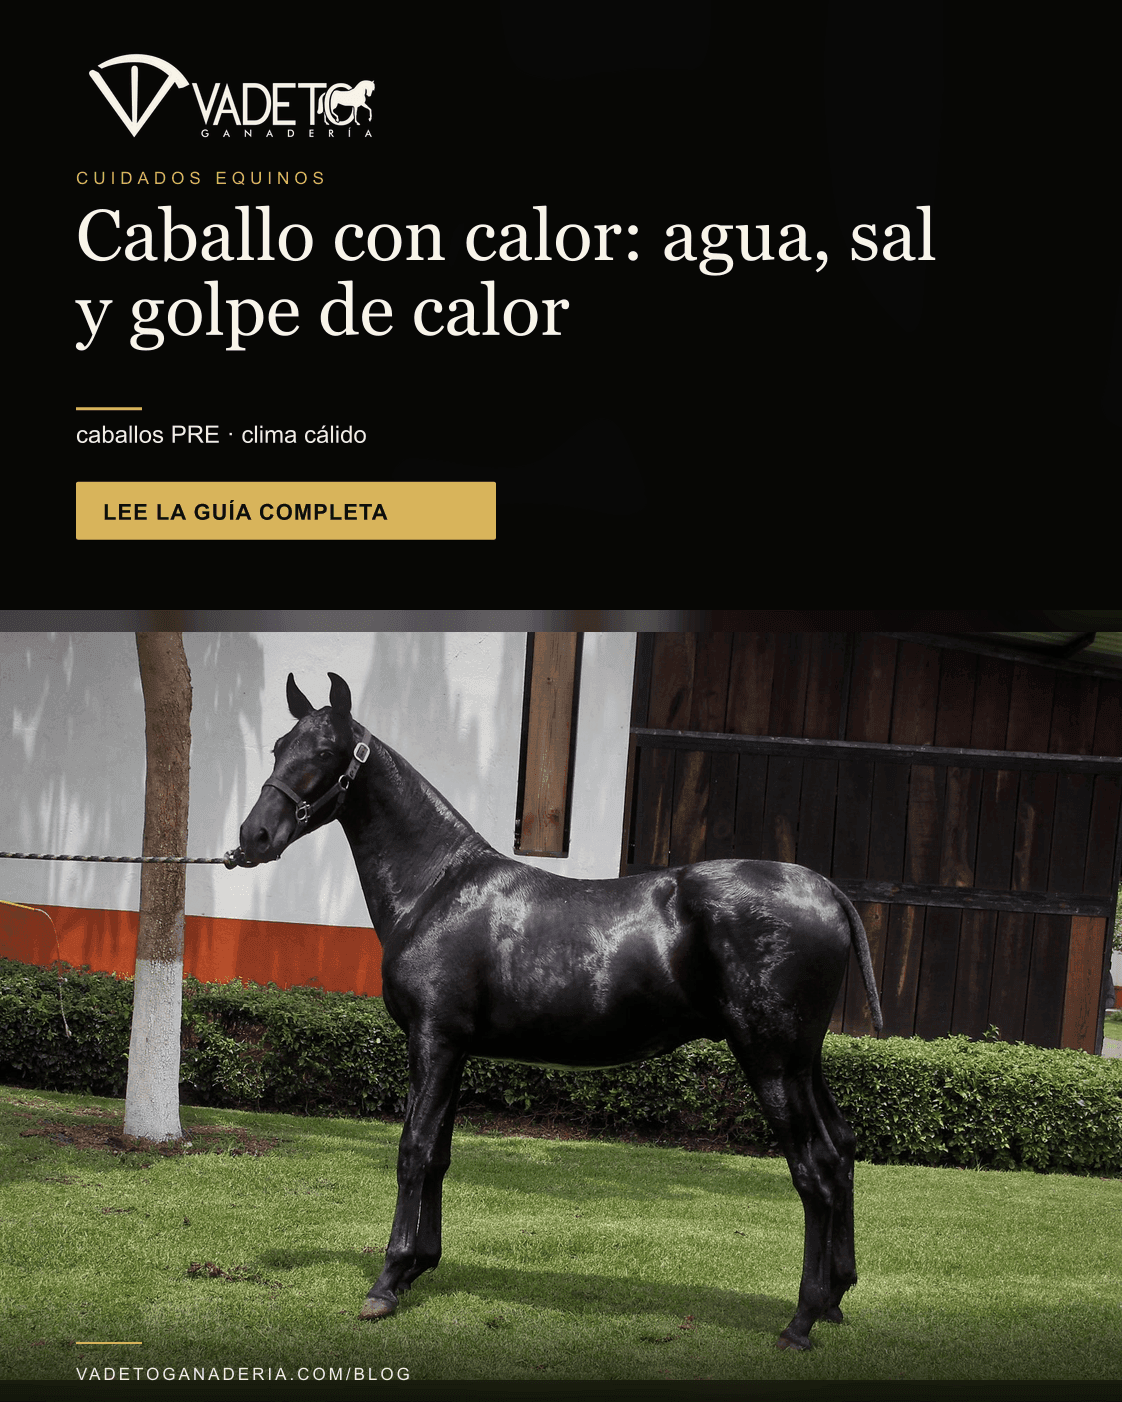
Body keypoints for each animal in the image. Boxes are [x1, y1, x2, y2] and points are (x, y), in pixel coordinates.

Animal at [236, 672, 884, 1351]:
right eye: (279, 745)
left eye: (325, 752)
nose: (254, 838)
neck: (437, 887)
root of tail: (826, 891)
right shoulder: (455, 1049)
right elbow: (438, 1154)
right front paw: (420, 1265)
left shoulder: (432, 1040)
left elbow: (413, 1150)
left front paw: (388, 1280)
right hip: (802, 1062)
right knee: (841, 1149)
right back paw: (836, 1295)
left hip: (770, 1063)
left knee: (814, 1171)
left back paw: (802, 1319)